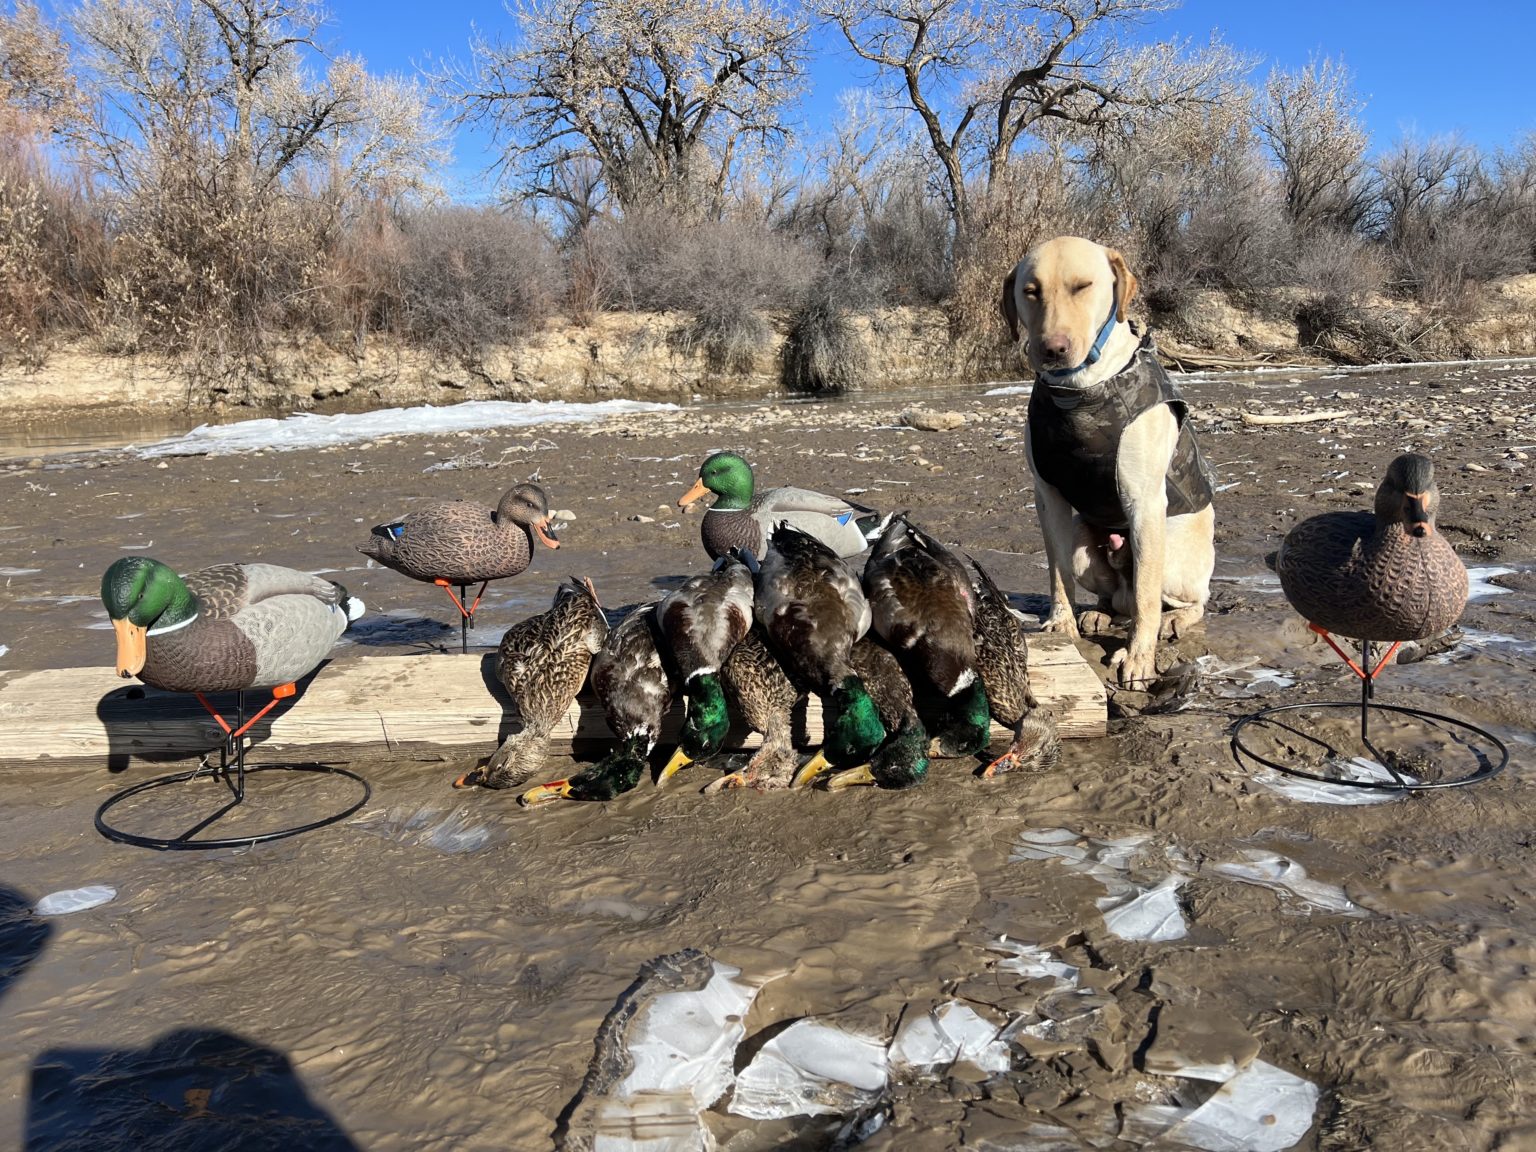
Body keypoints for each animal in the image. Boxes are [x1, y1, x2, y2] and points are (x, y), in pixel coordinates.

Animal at [1001, 235, 1216, 685]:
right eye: (1031, 291)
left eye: (1083, 286)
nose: (1053, 349)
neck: (1078, 390)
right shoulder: (1047, 496)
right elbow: (1056, 570)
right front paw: (1060, 622)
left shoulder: (1144, 502)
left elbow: (1148, 601)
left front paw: (1138, 659)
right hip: (1085, 547)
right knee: (1115, 599)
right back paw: (1099, 613)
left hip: (1172, 554)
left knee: (1180, 599)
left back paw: (1174, 620)